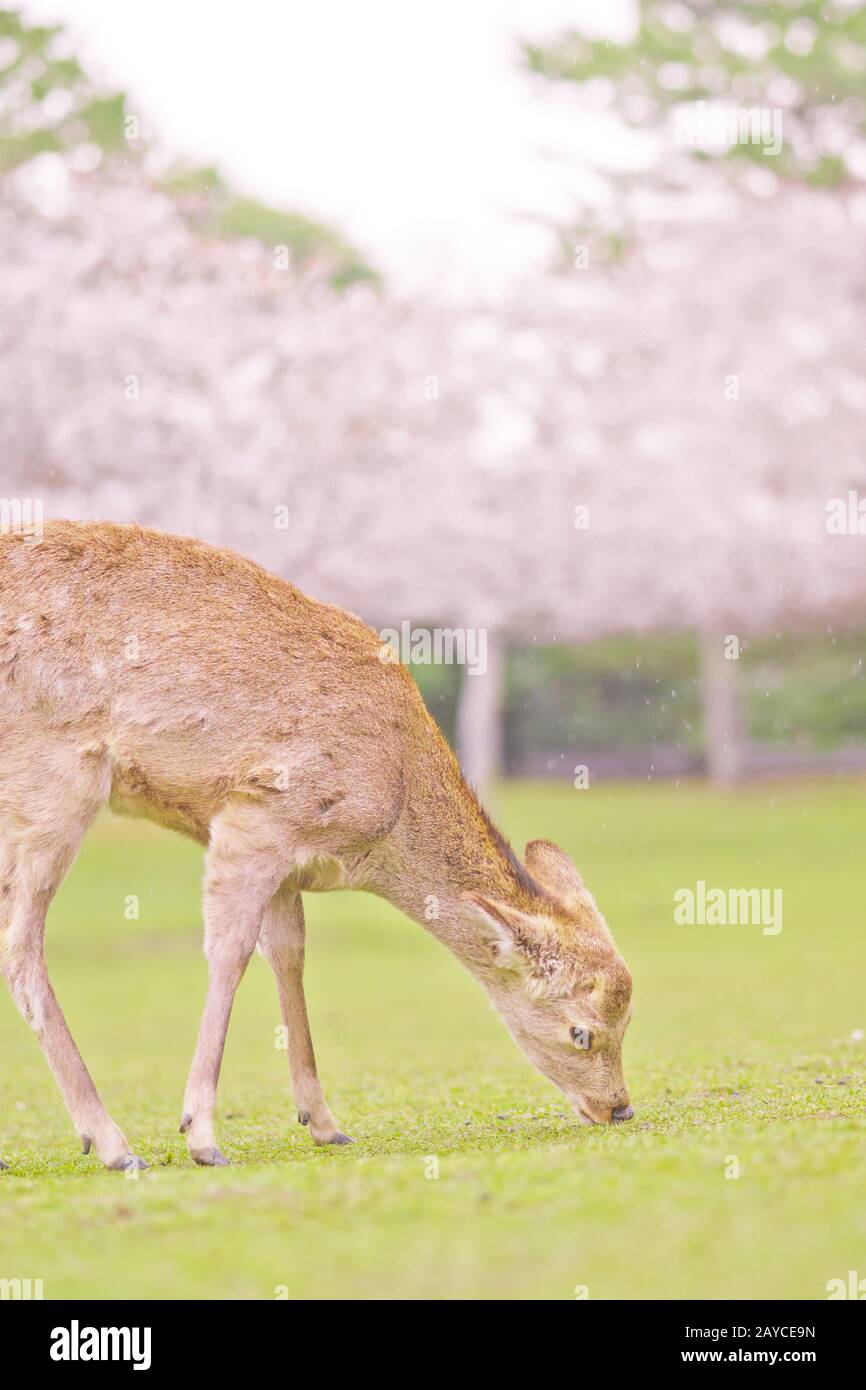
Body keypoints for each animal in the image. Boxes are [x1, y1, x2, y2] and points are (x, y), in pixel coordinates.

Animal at [0, 520, 633, 1172]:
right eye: (581, 1030)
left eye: (628, 1018)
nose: (619, 1108)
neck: (385, 825)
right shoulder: (256, 818)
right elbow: (229, 954)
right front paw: (202, 1135)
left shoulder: (287, 861)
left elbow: (289, 955)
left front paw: (324, 1123)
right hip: (52, 782)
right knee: (20, 943)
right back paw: (113, 1144)